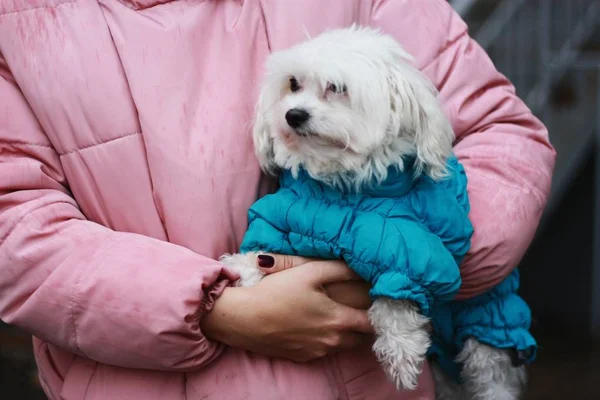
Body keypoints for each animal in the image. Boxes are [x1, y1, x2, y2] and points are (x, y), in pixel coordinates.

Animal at [220, 26, 524, 398]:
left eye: (336, 87)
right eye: (293, 83)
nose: (293, 114)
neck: (343, 194)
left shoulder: (408, 247)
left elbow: (397, 300)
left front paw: (401, 351)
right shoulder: (283, 217)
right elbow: (265, 250)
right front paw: (245, 266)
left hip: (486, 324)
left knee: (490, 375)